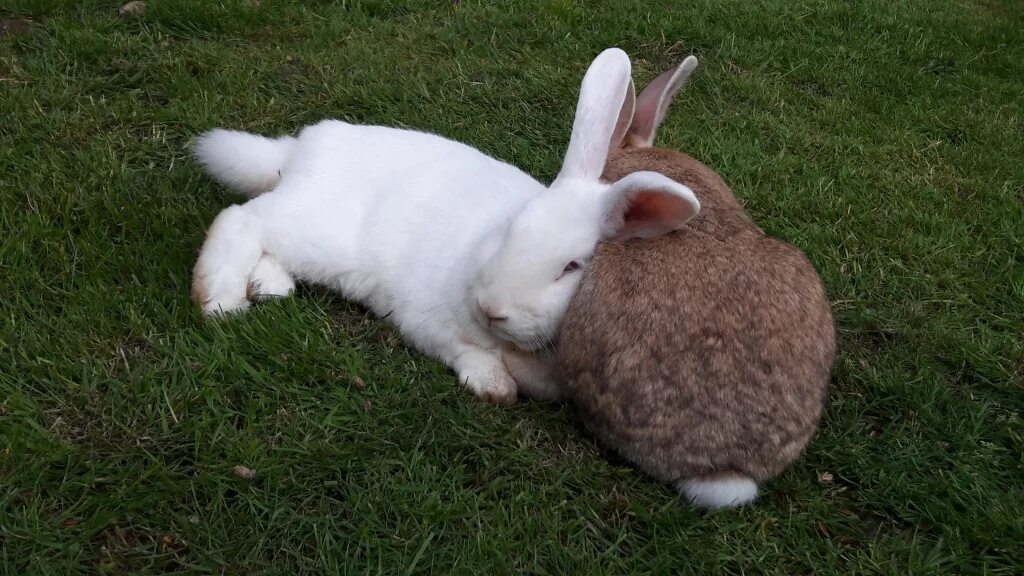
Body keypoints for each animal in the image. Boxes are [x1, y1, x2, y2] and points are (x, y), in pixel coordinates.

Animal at [190, 47, 704, 401]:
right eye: (512, 229)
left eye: (572, 268)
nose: (492, 308)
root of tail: (300, 150)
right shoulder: (426, 319)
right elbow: (460, 349)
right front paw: (493, 386)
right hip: (316, 232)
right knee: (241, 218)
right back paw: (221, 300)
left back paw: (268, 285)